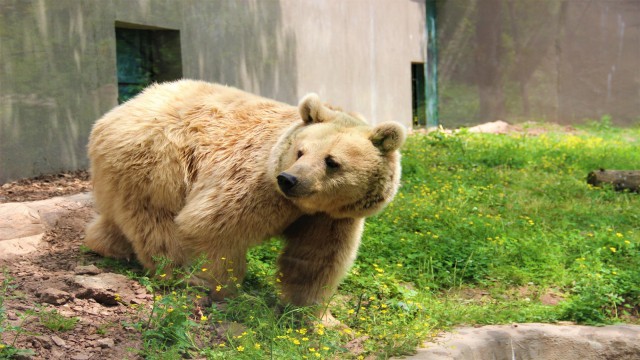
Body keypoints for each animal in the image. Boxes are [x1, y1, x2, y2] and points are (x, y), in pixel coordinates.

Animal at [85, 80, 404, 324]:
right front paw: (229, 293)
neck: (303, 206)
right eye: (300, 151)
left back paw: (107, 245)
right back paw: (181, 275)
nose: (289, 179)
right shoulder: (256, 183)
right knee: (157, 224)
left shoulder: (332, 218)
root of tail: (114, 112)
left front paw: (317, 316)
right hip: (159, 163)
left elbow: (316, 259)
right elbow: (212, 226)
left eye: (332, 161)